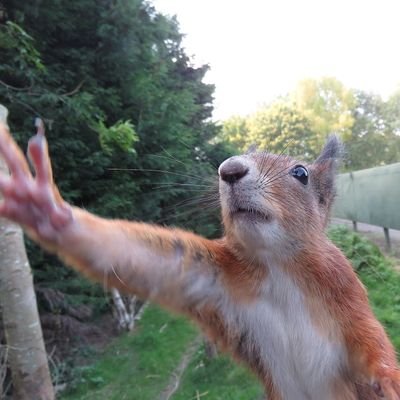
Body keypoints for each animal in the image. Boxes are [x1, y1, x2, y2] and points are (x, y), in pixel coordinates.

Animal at [0, 122, 400, 400]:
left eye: (300, 173)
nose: (229, 169)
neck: (277, 266)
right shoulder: (214, 276)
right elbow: (140, 256)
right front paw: (44, 206)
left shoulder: (343, 288)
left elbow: (368, 339)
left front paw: (389, 379)